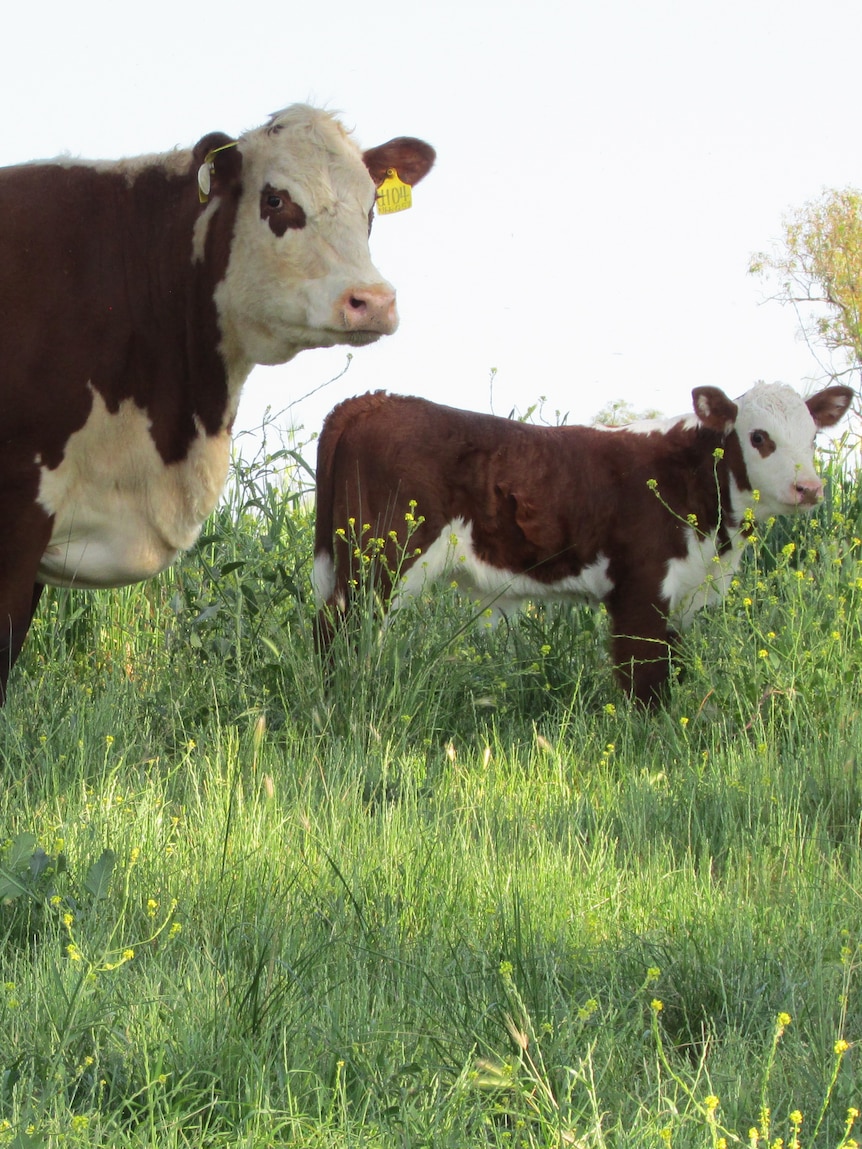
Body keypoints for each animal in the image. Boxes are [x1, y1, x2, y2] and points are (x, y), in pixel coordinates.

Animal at [312, 383, 853, 704]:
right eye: (759, 437)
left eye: (813, 438)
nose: (810, 488)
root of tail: (371, 400)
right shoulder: (639, 589)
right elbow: (644, 674)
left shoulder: (685, 594)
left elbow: (673, 664)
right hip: (378, 563)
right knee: (340, 629)